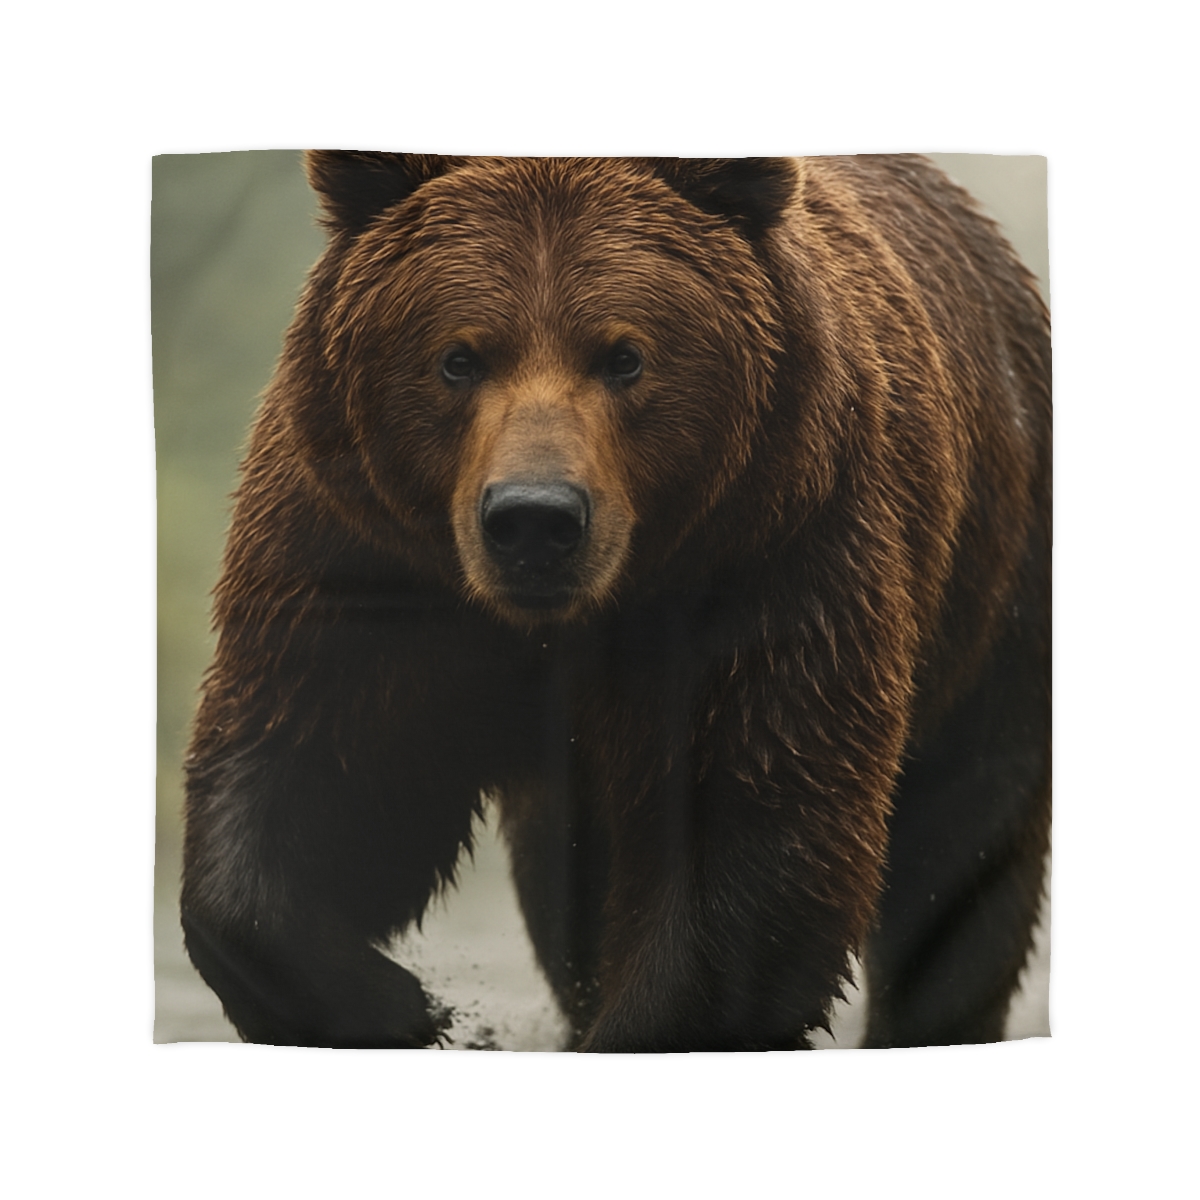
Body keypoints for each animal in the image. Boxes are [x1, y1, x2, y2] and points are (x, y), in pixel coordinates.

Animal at [180, 153, 1051, 1051]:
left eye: (624, 356)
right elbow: (323, 766)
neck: (565, 622)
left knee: (967, 844)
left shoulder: (773, 560)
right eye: (459, 358)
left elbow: (753, 835)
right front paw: (393, 1002)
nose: (534, 519)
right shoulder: (368, 557)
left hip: (996, 580)